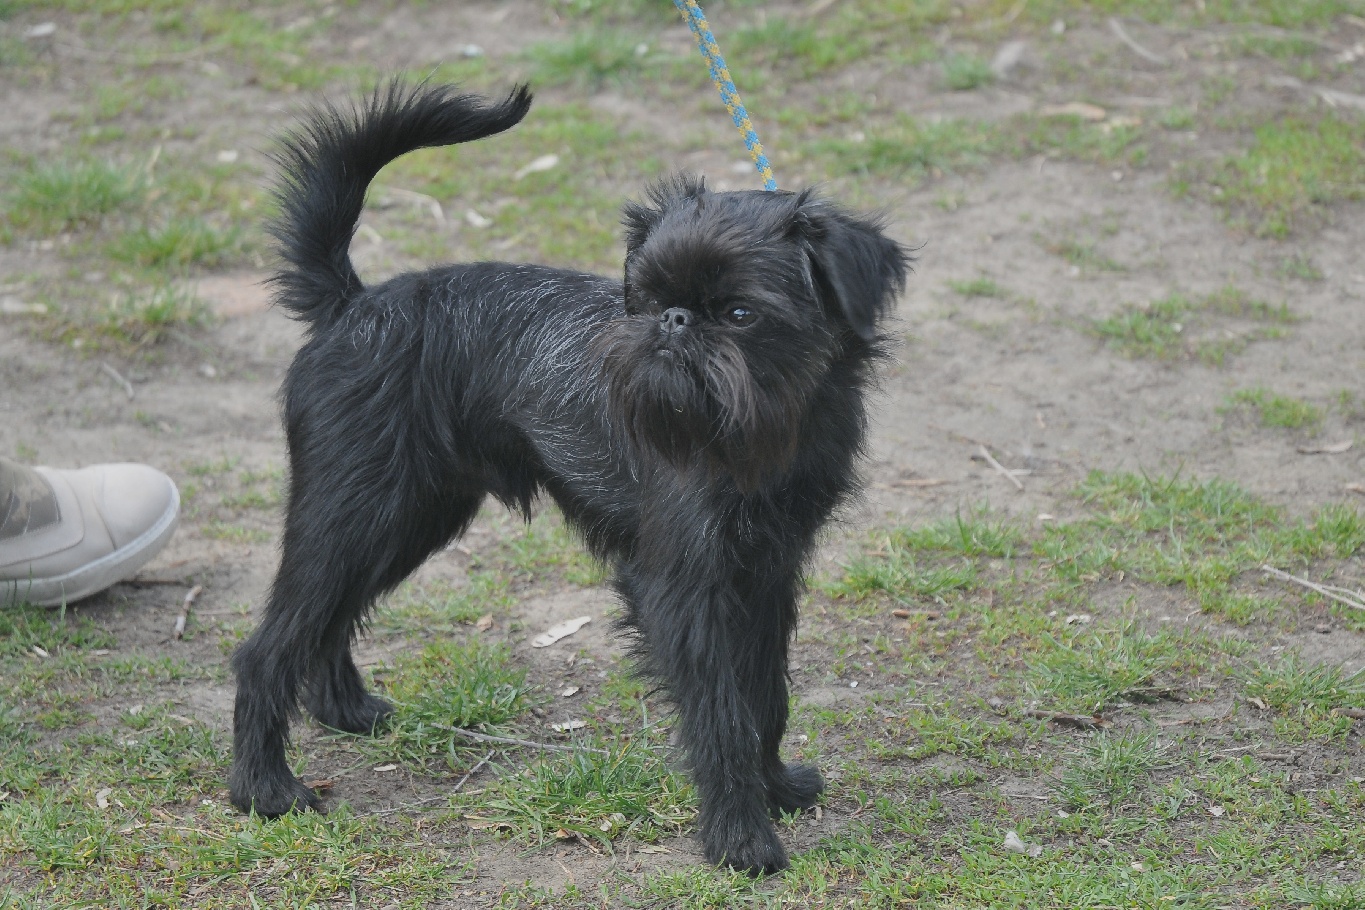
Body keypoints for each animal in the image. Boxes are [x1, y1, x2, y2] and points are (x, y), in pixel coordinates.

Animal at [228, 81, 909, 875]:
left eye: (741, 313)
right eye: (646, 299)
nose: (674, 321)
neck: (769, 428)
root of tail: (353, 304)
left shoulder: (768, 574)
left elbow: (763, 697)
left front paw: (775, 788)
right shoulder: (682, 589)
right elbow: (720, 716)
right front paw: (742, 840)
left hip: (405, 516)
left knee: (329, 619)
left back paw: (345, 713)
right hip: (355, 512)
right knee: (267, 648)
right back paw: (264, 789)